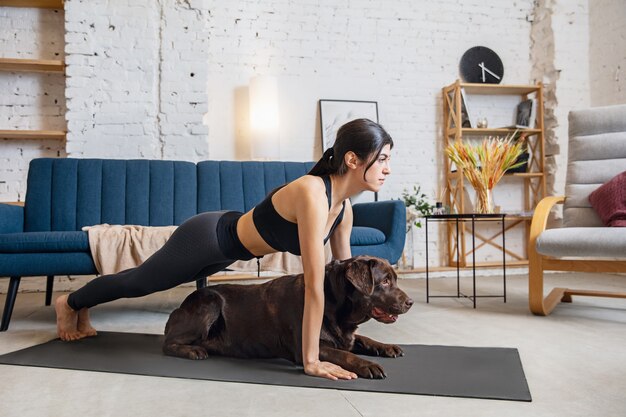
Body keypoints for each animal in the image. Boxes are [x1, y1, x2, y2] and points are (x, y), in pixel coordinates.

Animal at [163, 254, 412, 376]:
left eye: (394, 279)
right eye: (385, 282)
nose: (410, 303)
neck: (334, 304)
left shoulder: (345, 335)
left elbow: (361, 339)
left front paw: (386, 347)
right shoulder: (308, 347)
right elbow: (343, 354)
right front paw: (367, 364)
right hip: (210, 303)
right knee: (168, 343)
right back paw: (194, 351)